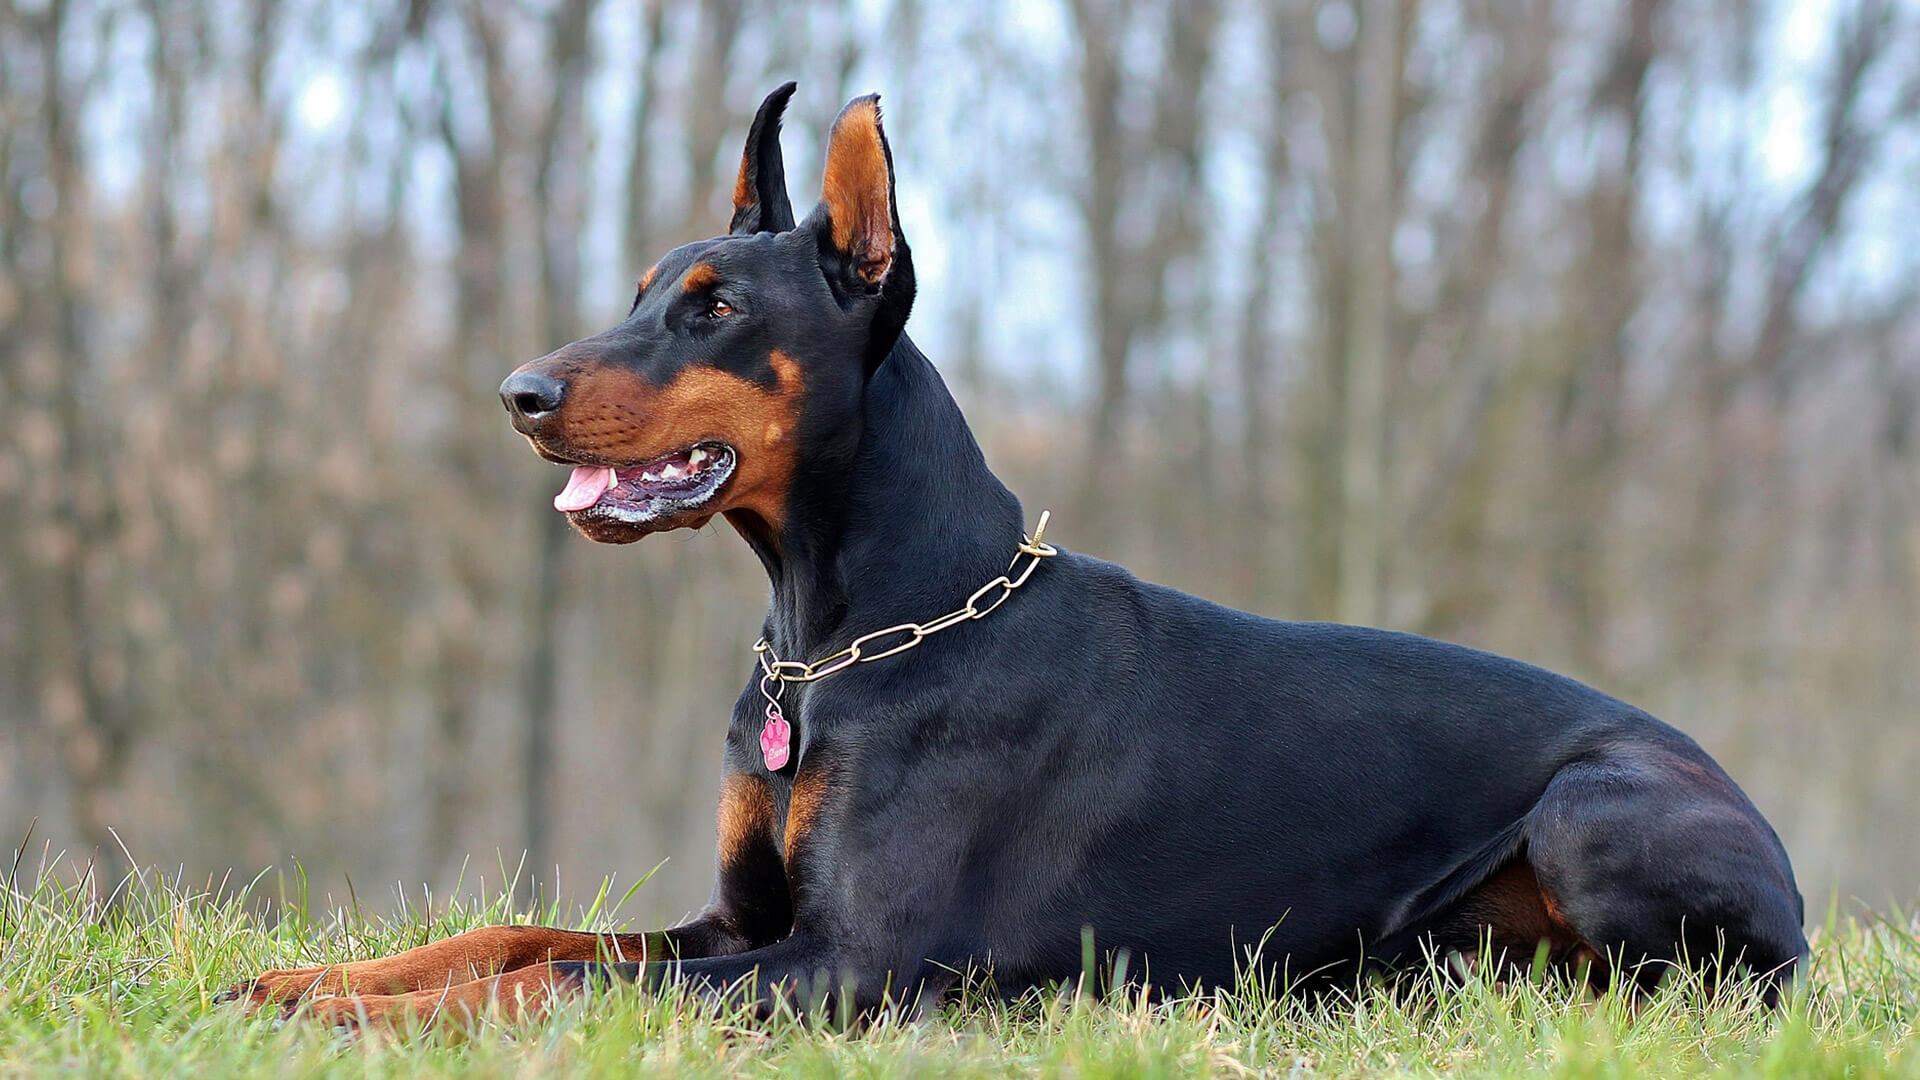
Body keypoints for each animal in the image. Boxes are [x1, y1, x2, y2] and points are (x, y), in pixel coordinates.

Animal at [224, 84, 1797, 1022]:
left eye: (714, 308)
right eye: (639, 292)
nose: (518, 394)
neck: (842, 638)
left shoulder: (842, 964)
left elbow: (551, 990)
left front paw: (363, 1022)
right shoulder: (737, 925)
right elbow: (512, 943)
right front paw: (305, 981)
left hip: (1594, 808)